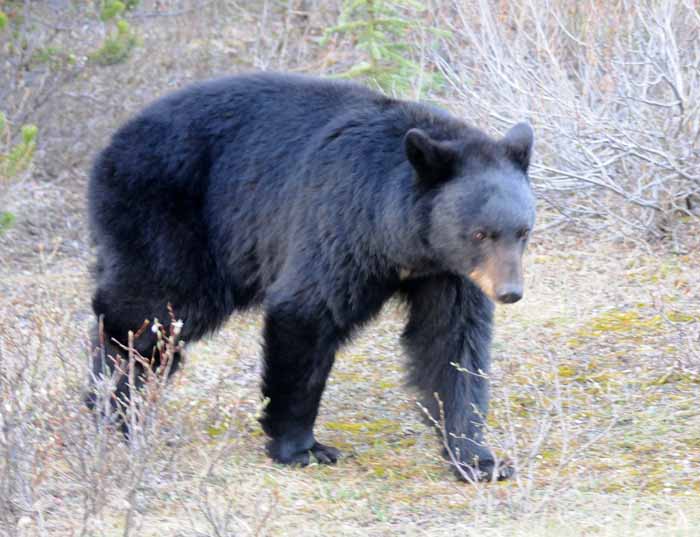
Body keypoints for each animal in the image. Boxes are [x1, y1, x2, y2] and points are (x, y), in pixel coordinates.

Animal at [87, 72, 536, 482]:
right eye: (480, 233)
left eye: (522, 231)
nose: (510, 292)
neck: (406, 241)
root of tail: (110, 146)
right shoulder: (341, 220)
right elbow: (306, 311)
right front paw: (301, 447)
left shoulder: (448, 271)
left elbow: (451, 343)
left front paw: (478, 458)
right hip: (167, 216)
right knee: (150, 312)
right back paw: (114, 408)